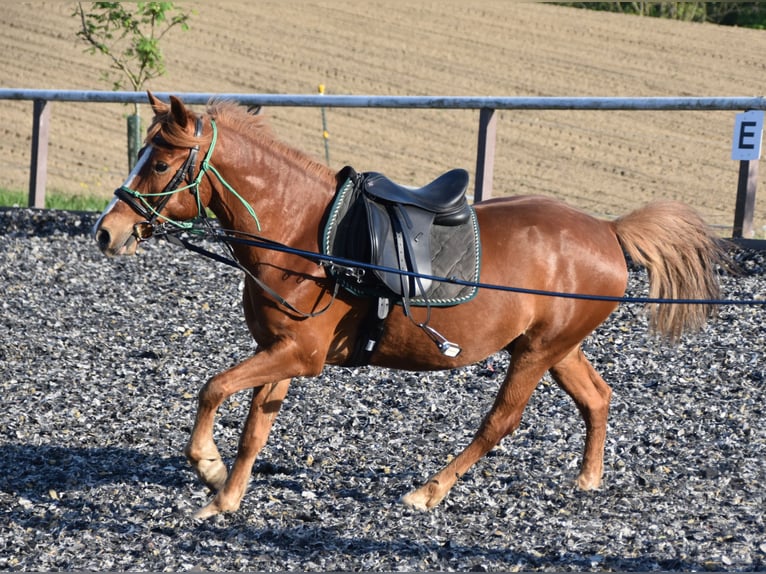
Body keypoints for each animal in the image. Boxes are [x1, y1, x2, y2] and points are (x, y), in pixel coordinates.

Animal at [94, 94, 728, 520]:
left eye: (158, 163)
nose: (106, 232)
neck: (300, 235)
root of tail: (607, 230)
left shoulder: (300, 355)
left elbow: (213, 389)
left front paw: (207, 466)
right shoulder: (279, 350)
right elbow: (254, 428)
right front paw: (225, 495)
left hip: (538, 352)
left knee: (501, 421)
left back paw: (429, 491)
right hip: (552, 347)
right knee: (596, 397)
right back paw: (588, 479)